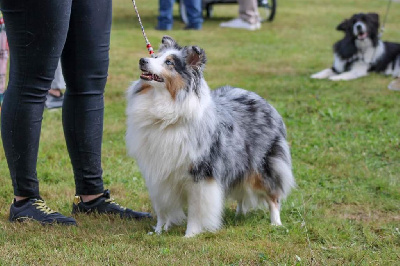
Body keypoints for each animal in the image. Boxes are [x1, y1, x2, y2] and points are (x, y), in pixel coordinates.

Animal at [126, 35, 296, 237]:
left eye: (169, 63)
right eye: (156, 56)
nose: (142, 60)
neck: (165, 115)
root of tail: (261, 99)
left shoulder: (200, 174)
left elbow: (195, 209)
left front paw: (190, 235)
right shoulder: (159, 175)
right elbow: (163, 208)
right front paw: (159, 231)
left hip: (262, 166)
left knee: (273, 195)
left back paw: (276, 223)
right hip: (237, 163)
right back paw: (239, 214)